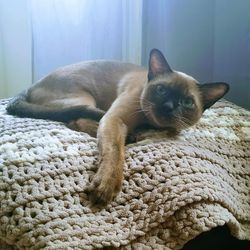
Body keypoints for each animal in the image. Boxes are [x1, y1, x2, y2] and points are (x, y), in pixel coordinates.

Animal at [5, 48, 229, 205]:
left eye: (187, 102)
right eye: (161, 90)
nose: (168, 107)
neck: (148, 122)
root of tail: (31, 86)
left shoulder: (171, 126)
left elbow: (171, 129)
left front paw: (145, 133)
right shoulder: (115, 119)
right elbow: (114, 152)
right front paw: (106, 186)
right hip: (85, 99)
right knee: (76, 119)